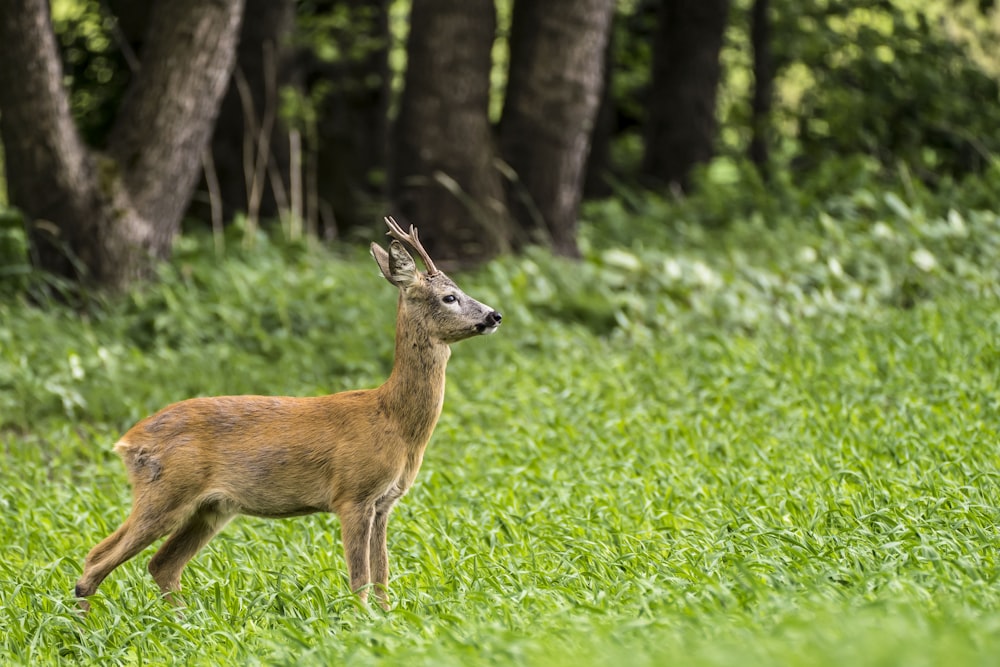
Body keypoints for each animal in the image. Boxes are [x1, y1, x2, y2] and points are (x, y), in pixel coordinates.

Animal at [72, 217, 500, 612]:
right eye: (449, 297)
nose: (494, 315)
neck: (393, 420)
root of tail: (128, 441)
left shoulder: (384, 503)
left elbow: (382, 576)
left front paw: (386, 618)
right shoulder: (352, 493)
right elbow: (360, 578)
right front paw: (362, 622)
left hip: (211, 508)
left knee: (161, 564)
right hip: (164, 491)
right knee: (96, 559)